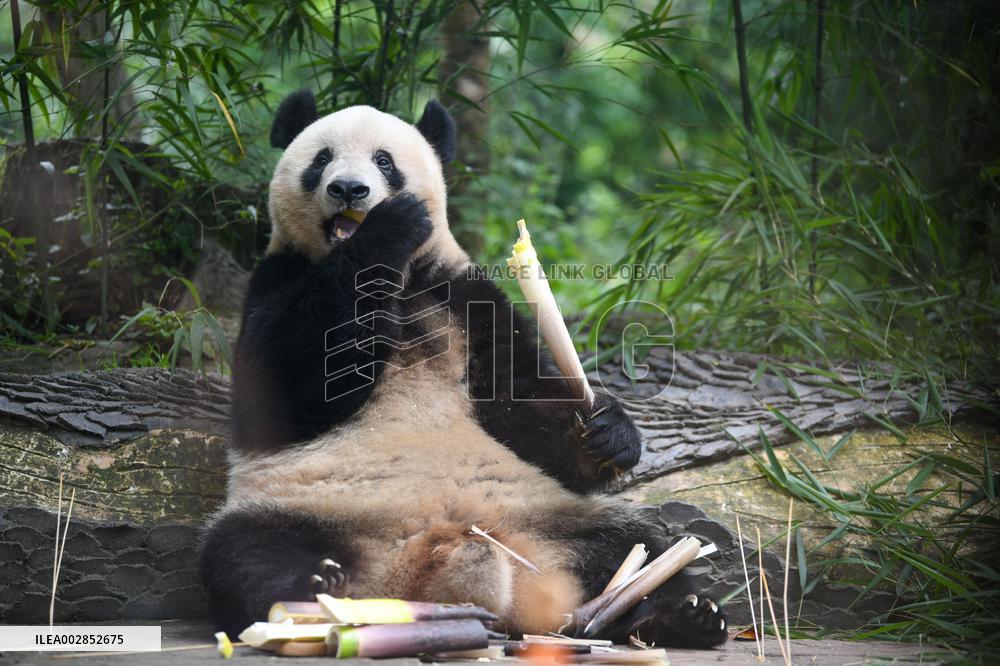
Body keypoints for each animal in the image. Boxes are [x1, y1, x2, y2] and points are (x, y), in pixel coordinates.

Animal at [199, 90, 728, 649]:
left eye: (384, 161)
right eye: (322, 159)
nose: (348, 188)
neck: (402, 280)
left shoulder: (463, 295)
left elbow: (521, 405)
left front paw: (606, 433)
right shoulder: (274, 280)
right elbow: (290, 387)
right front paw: (389, 227)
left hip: (548, 519)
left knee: (636, 544)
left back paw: (679, 614)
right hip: (306, 506)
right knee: (246, 553)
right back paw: (314, 590)